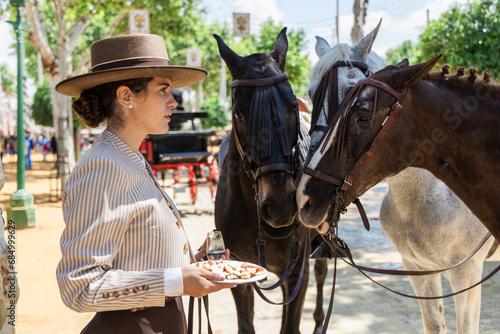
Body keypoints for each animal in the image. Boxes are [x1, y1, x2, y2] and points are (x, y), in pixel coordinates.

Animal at [214, 29, 328, 334]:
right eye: (239, 113)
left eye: (291, 106)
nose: (280, 206)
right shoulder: (240, 276)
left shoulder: (296, 275)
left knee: (322, 270)